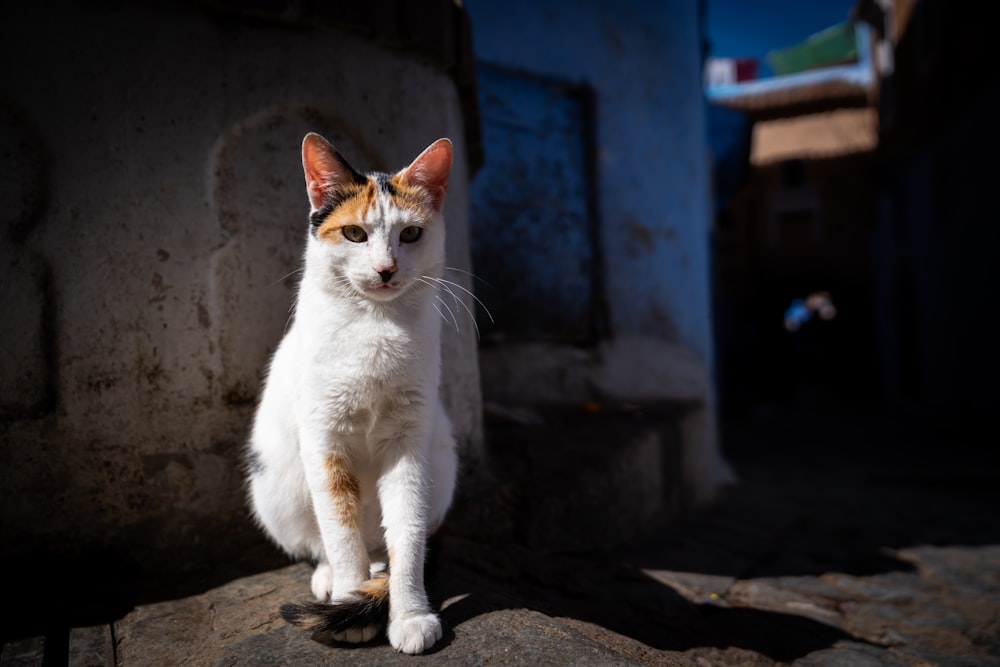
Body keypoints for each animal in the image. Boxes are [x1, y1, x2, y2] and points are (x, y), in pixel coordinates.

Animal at [248, 133, 458, 656]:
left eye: (410, 235)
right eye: (354, 235)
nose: (385, 269)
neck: (375, 326)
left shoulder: (409, 441)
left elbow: (408, 532)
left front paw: (409, 613)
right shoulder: (326, 438)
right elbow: (340, 530)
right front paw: (347, 602)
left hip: (442, 463)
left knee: (386, 542)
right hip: (276, 484)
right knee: (323, 539)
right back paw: (337, 583)